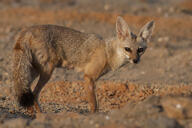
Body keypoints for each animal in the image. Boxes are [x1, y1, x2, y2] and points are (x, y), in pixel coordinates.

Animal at [11, 16, 154, 113]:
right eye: (127, 49)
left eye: (140, 50)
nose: (135, 61)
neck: (108, 52)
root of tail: (26, 30)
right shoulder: (89, 77)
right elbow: (94, 104)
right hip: (47, 72)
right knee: (34, 94)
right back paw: (41, 116)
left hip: (34, 72)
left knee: (27, 91)